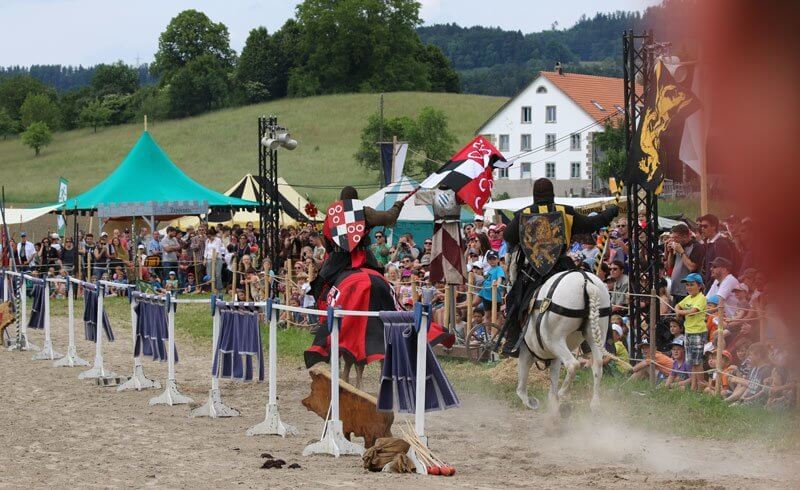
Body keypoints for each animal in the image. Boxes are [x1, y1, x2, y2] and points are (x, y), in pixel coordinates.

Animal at [512, 268, 612, 418]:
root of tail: (586, 281)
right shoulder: (554, 357)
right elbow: (554, 375)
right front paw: (552, 403)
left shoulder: (526, 351)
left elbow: (522, 380)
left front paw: (530, 402)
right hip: (593, 334)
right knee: (598, 365)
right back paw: (595, 404)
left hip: (555, 340)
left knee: (572, 364)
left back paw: (563, 392)